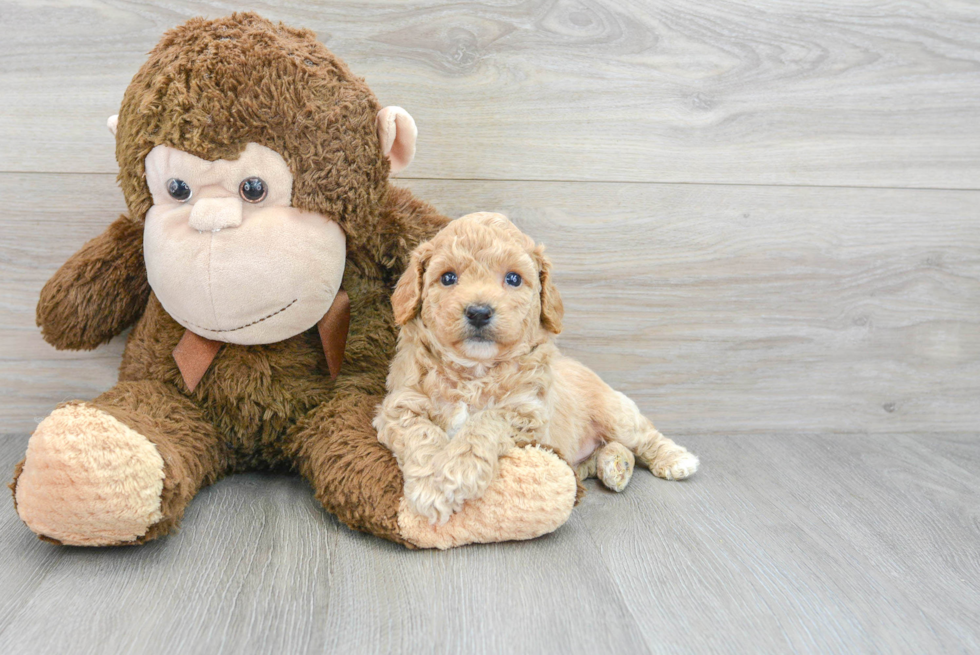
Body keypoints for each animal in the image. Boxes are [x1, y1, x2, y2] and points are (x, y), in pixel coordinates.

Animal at [374, 213, 696, 524]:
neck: (475, 371)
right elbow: (422, 433)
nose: (479, 312)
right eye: (448, 277)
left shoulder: (527, 412)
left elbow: (485, 421)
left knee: (644, 436)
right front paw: (431, 484)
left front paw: (457, 473)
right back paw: (616, 464)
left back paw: (674, 459)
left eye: (514, 278)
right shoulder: (399, 407)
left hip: (615, 414)